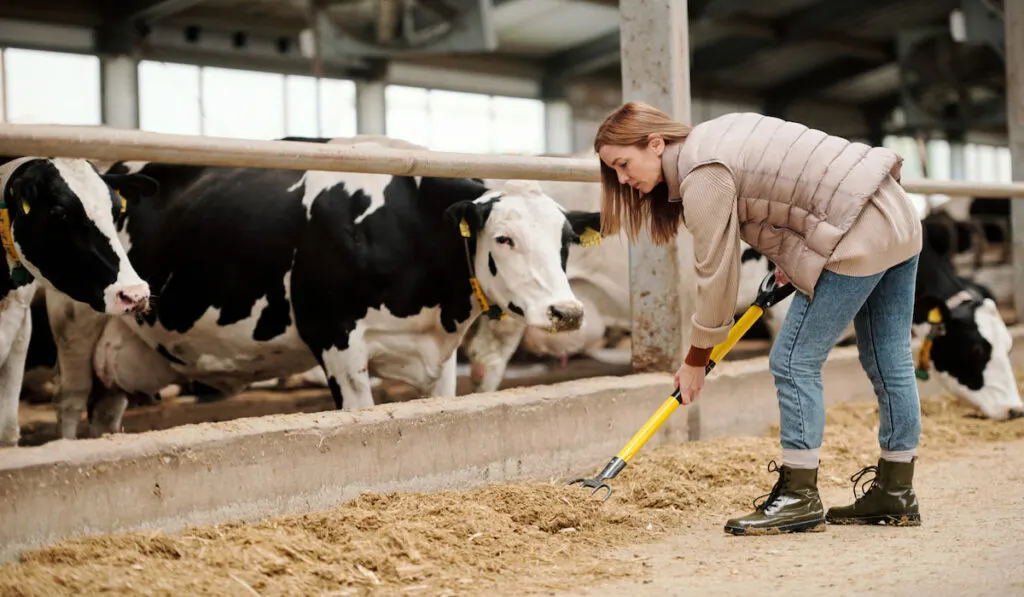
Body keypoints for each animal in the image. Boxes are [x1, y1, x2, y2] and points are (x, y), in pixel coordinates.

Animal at [46, 138, 598, 442]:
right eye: (503, 238)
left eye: (566, 240)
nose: (568, 312)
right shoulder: (335, 337)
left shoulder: (436, 355)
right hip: (74, 321)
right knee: (70, 404)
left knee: (104, 413)